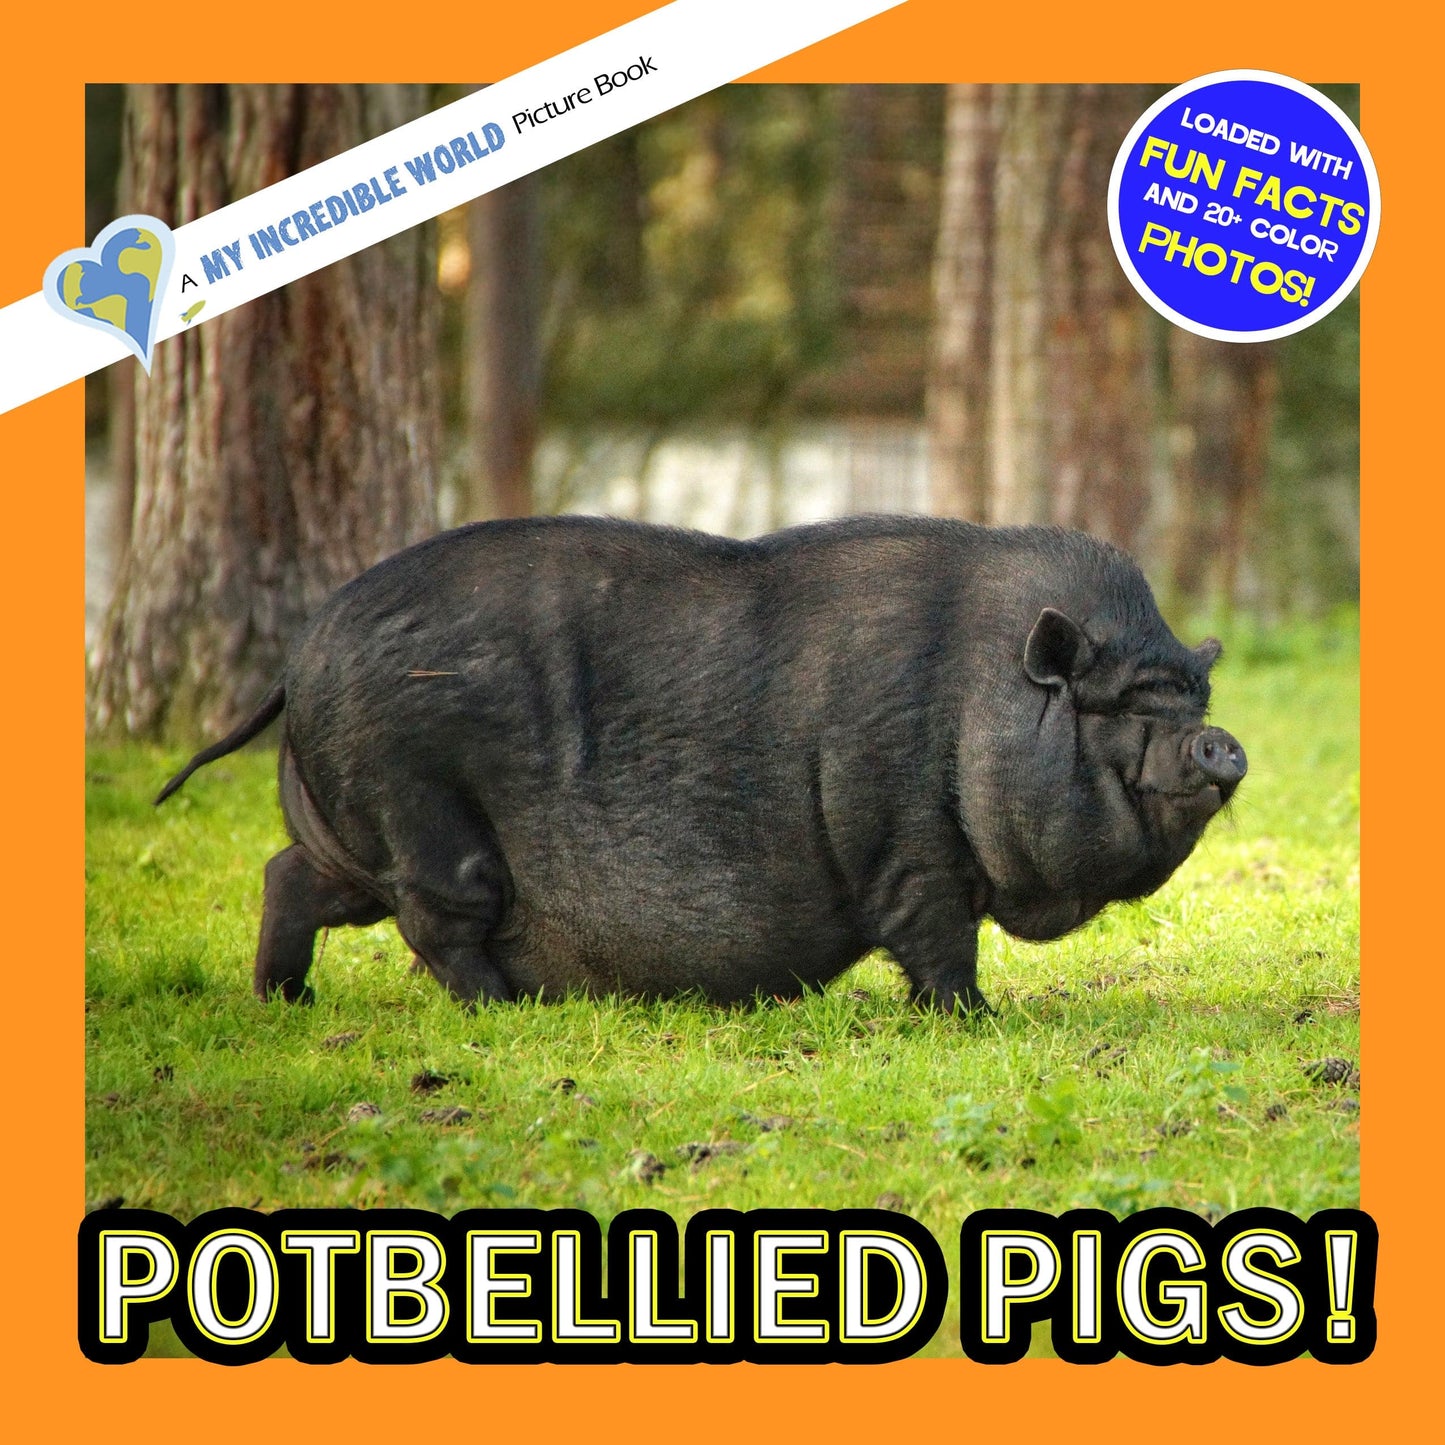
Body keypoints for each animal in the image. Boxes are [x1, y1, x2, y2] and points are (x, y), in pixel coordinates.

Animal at [156, 516, 1245, 1013]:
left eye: (1190, 694)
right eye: (1119, 703)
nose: (1220, 743)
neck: (982, 693)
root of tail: (299, 654)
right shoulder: (904, 842)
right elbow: (937, 939)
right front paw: (976, 1019)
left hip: (350, 824)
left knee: (288, 874)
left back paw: (283, 998)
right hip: (416, 800)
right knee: (437, 921)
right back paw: (507, 1006)